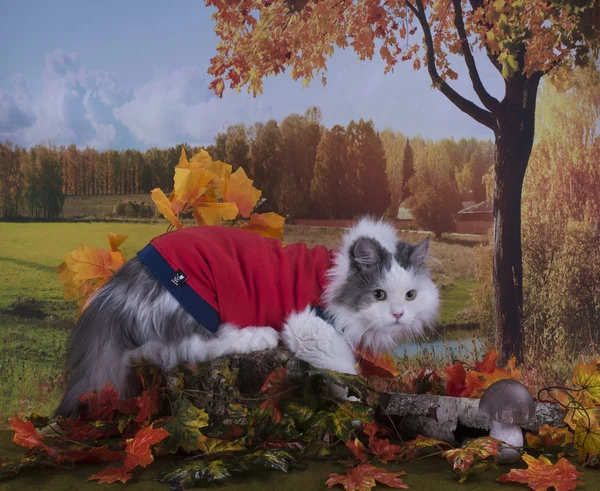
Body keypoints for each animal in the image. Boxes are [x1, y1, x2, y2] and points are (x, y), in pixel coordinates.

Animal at [55, 219, 440, 418]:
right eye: (379, 295)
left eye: (410, 295)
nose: (398, 314)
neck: (335, 276)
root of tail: (118, 286)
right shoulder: (310, 325)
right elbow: (342, 368)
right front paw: (353, 400)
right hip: (196, 303)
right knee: (184, 347)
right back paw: (259, 335)